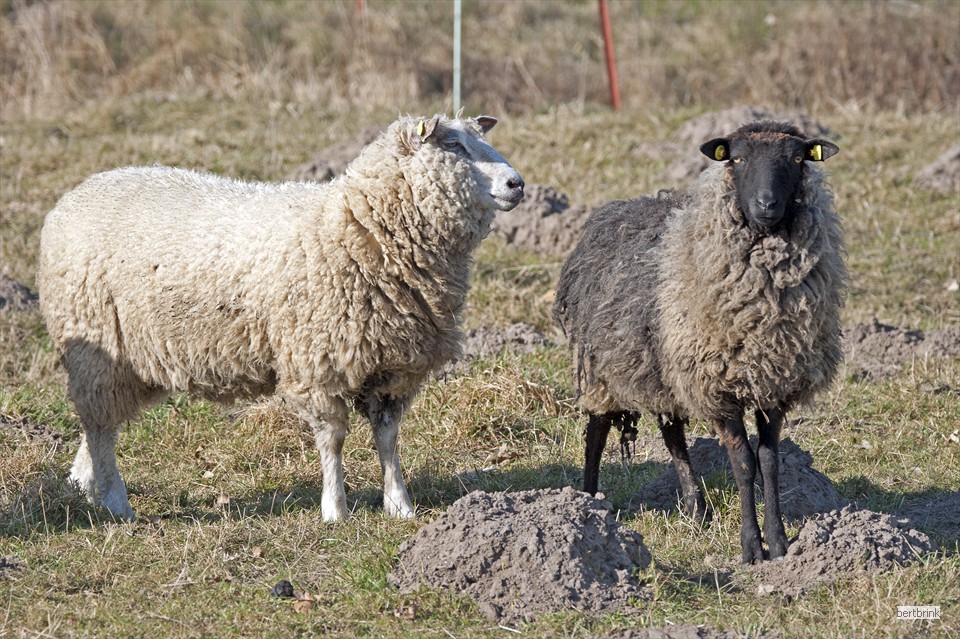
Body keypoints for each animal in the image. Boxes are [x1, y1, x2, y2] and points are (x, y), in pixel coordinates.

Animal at [37, 113, 524, 523]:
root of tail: (73, 195)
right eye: (454, 145)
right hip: (95, 344)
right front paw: (335, 510)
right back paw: (116, 503)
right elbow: (333, 439)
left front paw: (399, 505)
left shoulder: (392, 367)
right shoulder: (319, 361)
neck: (359, 226)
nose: (517, 183)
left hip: (135, 355)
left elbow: (388, 438)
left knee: (99, 425)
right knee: (100, 424)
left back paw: (86, 483)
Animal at [554, 121, 845, 564]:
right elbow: (742, 463)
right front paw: (751, 547)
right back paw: (587, 503)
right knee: (596, 431)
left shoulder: (774, 382)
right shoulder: (718, 385)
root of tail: (612, 211)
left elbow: (770, 461)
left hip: (663, 367)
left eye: (797, 159)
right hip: (603, 366)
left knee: (673, 435)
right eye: (737, 158)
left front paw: (777, 543)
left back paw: (696, 509)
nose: (766, 204)